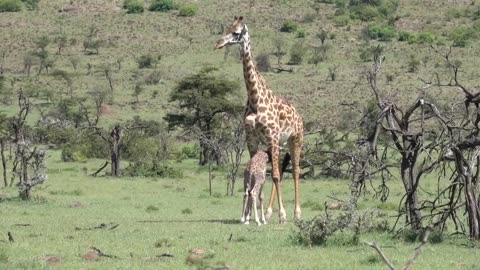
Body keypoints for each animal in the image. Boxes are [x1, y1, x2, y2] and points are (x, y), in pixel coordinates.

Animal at [215, 17, 304, 224]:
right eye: (226, 28)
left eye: (236, 33)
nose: (219, 43)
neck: (255, 98)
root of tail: (299, 115)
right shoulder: (252, 139)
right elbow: (259, 171)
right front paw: (249, 215)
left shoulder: (271, 136)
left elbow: (276, 177)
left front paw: (282, 215)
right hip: (280, 143)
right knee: (280, 170)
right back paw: (270, 212)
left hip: (295, 140)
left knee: (295, 171)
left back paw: (296, 213)